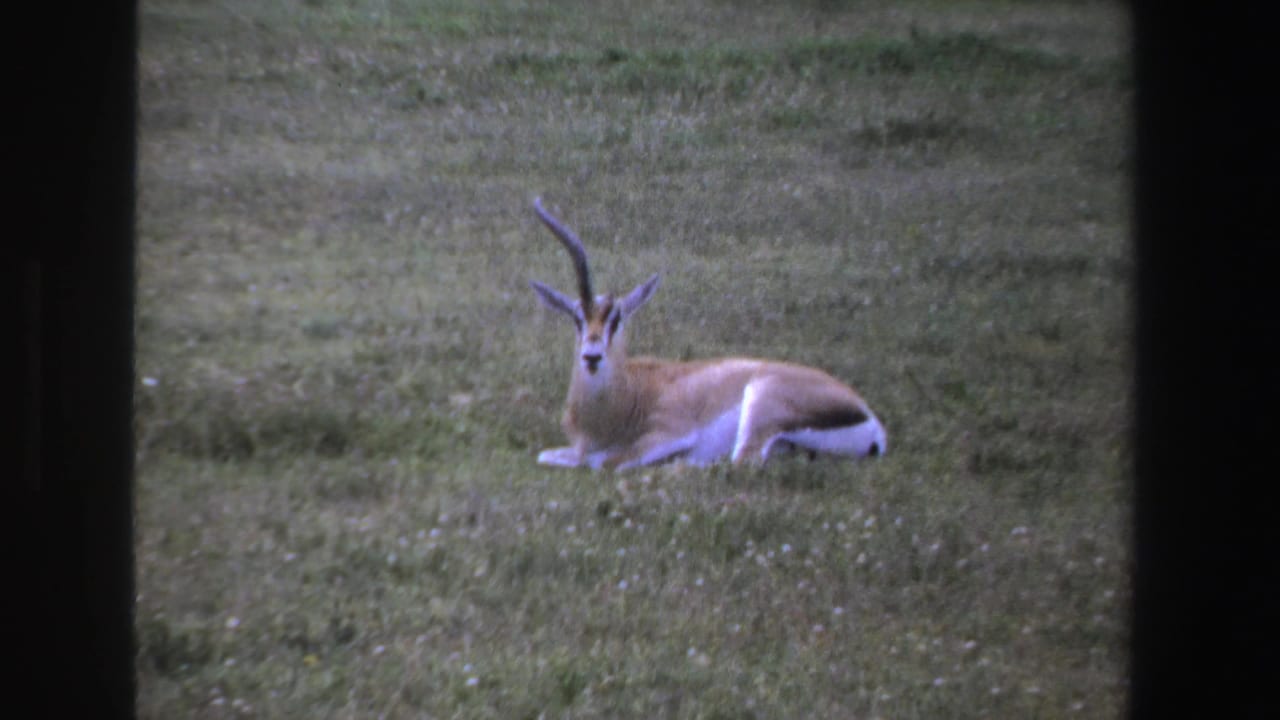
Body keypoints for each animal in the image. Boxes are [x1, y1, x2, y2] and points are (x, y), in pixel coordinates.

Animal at [529, 197, 886, 471]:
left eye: (617, 319)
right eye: (577, 317)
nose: (592, 356)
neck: (631, 394)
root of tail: (869, 418)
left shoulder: (670, 433)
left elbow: (606, 463)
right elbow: (547, 455)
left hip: (760, 404)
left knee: (740, 463)